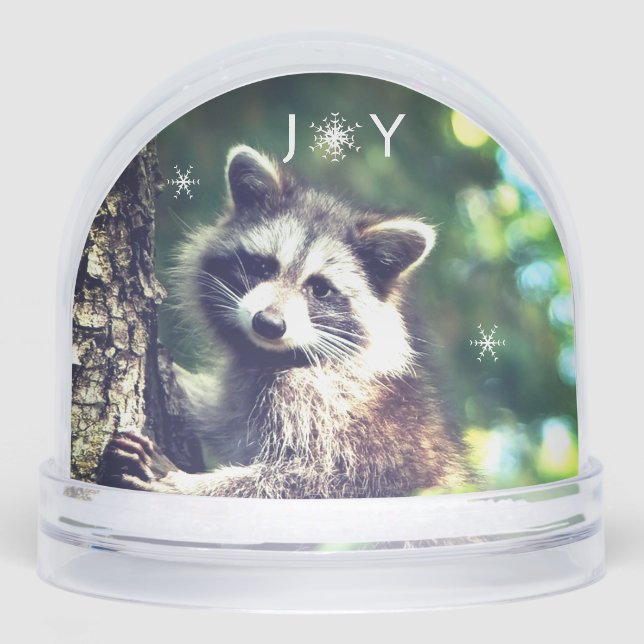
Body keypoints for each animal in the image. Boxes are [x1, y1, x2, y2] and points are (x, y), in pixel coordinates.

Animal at [100, 145, 472, 498]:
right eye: (263, 267)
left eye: (319, 289)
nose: (268, 324)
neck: (272, 356)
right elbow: (225, 417)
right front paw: (178, 378)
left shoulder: (339, 413)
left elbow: (320, 481)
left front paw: (184, 484)